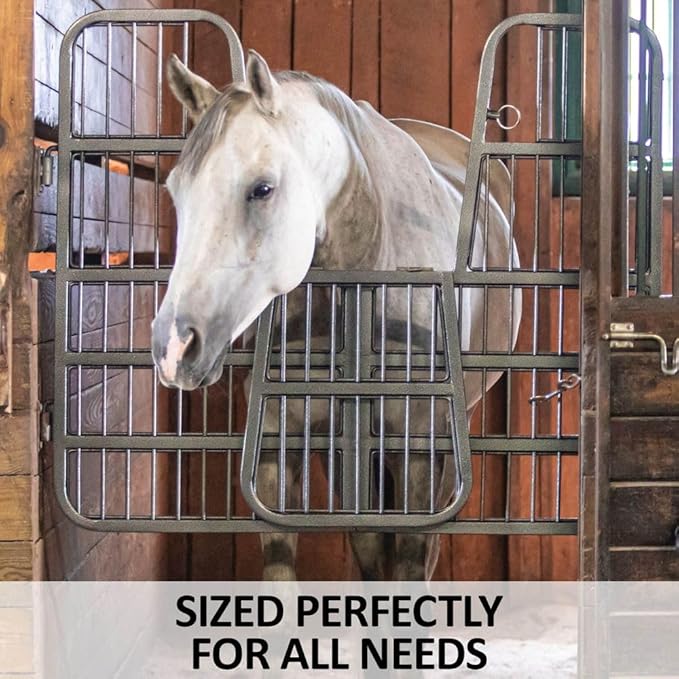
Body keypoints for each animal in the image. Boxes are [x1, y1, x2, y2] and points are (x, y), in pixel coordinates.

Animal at [151, 49, 521, 580]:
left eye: (262, 189)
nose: (174, 347)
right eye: (176, 190)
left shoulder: (420, 452)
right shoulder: (283, 446)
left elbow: (411, 563)